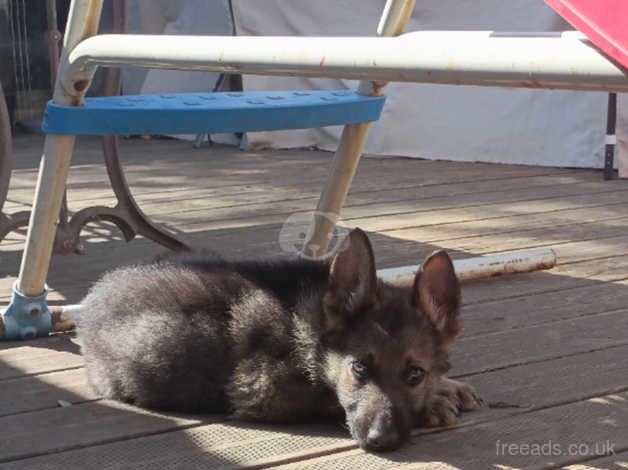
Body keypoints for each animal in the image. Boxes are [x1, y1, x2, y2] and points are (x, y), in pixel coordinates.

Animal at [78, 229, 480, 452]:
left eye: (415, 374)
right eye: (359, 367)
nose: (382, 440)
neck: (314, 335)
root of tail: (92, 298)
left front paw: (445, 386)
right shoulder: (261, 389)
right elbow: (330, 400)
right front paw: (434, 403)